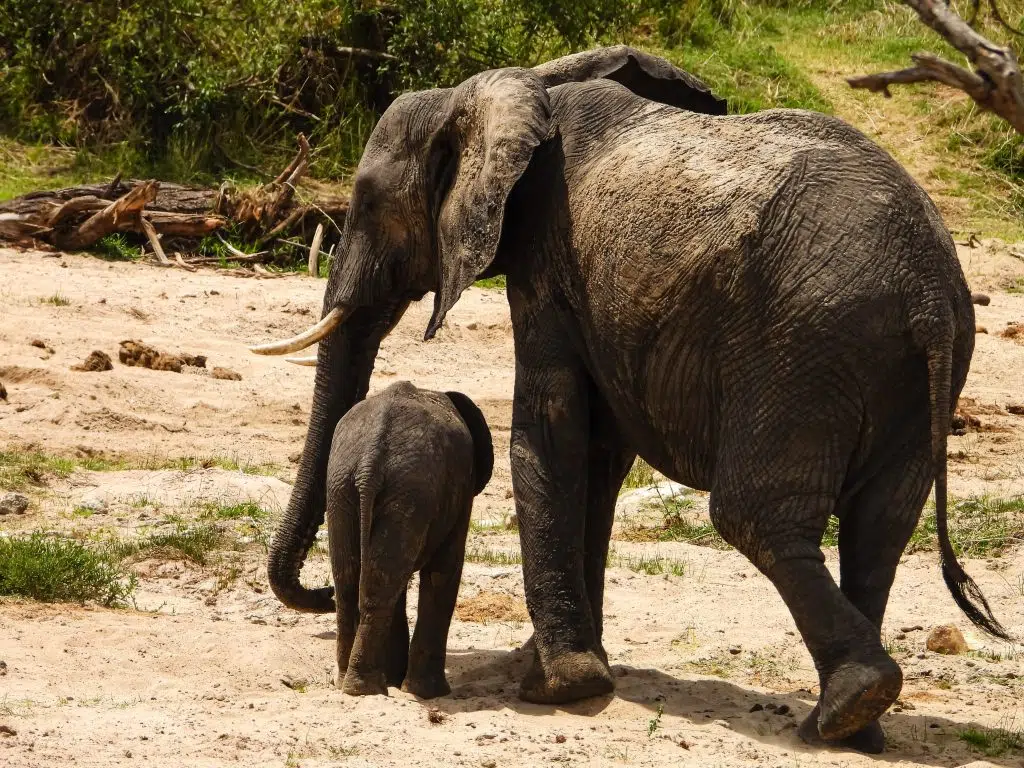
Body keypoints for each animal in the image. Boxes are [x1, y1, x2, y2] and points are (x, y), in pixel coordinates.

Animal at [323, 378, 491, 696]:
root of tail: (369, 463)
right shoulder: (461, 490)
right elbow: (444, 570)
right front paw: (429, 692)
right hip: (407, 494)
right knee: (381, 582)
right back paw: (368, 688)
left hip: (342, 489)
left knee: (354, 580)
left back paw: (348, 683)